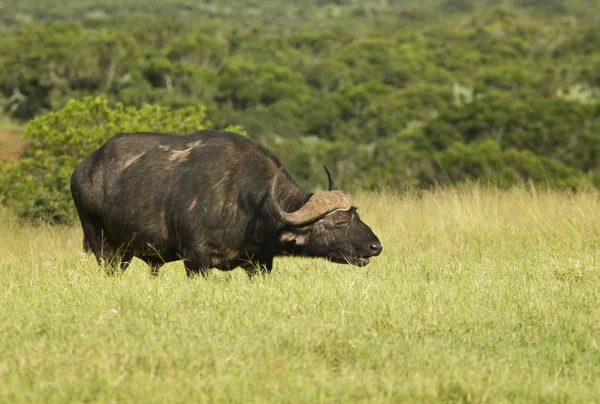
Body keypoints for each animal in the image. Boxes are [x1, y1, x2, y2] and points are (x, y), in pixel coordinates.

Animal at [69, 131, 380, 276]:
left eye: (356, 213)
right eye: (339, 222)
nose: (376, 246)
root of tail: (82, 168)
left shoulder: (260, 263)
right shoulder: (195, 260)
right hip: (102, 245)